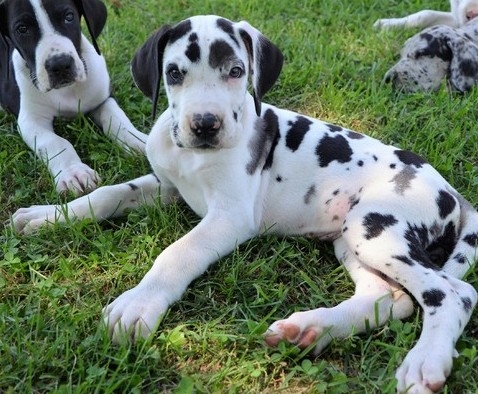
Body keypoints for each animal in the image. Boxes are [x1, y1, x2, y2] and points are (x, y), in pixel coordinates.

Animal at [0, 0, 147, 195]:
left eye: (69, 17)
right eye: (22, 29)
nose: (60, 65)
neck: (67, 90)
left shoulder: (103, 99)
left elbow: (118, 120)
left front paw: (138, 142)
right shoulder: (31, 120)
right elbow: (55, 142)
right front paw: (74, 172)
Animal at [12, 14, 478, 394]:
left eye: (236, 71)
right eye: (174, 73)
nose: (205, 125)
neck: (193, 156)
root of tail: (451, 190)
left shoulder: (230, 217)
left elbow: (178, 252)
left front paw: (139, 303)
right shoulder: (166, 186)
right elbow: (107, 194)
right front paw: (48, 217)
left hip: (373, 226)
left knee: (453, 293)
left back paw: (424, 362)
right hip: (351, 238)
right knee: (391, 298)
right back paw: (309, 329)